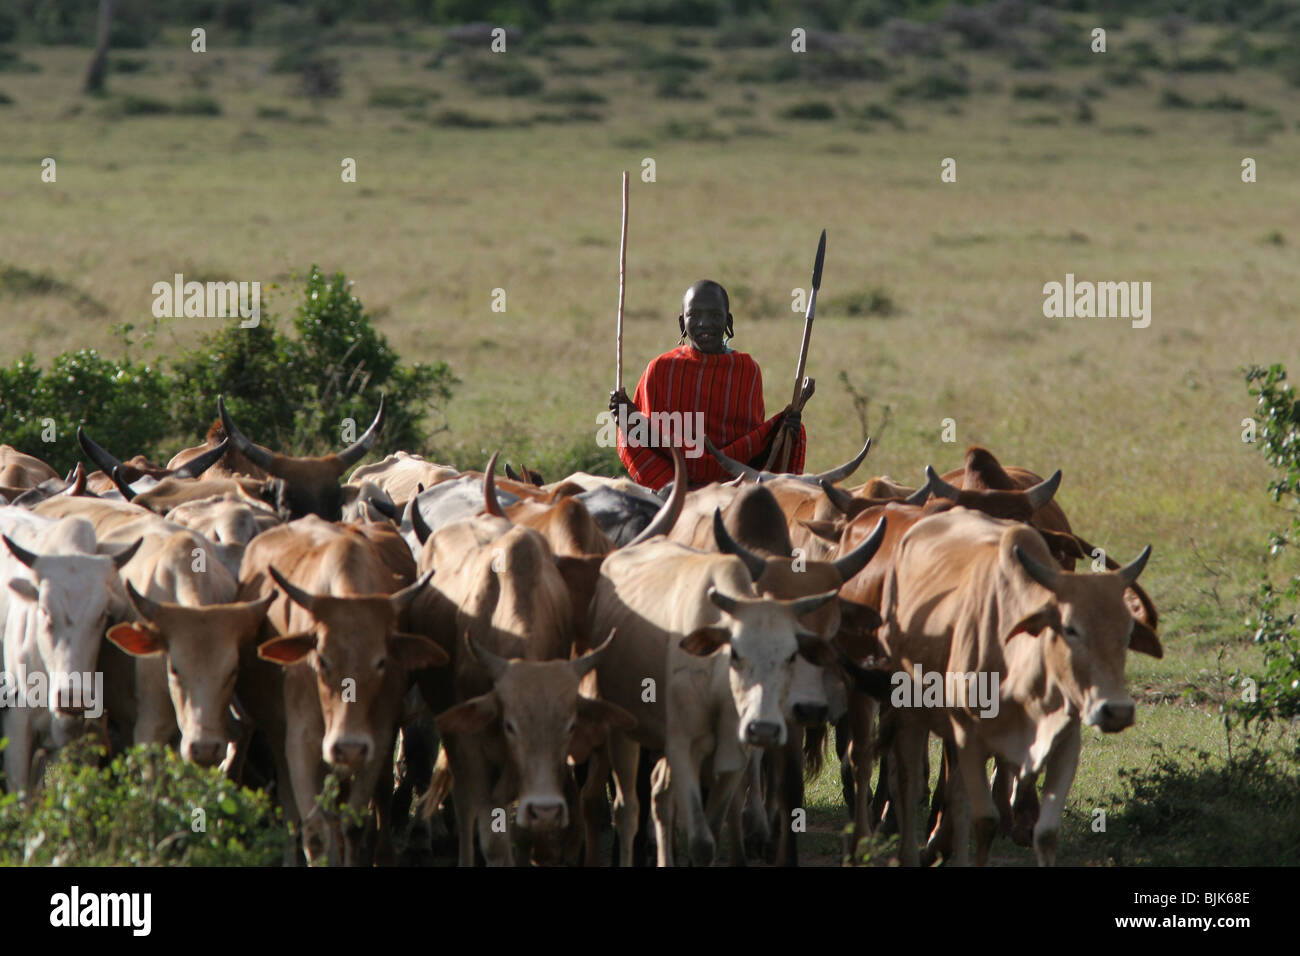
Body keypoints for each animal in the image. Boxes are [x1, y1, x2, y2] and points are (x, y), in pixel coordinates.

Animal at [236, 515, 446, 864]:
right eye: (320, 659)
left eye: (382, 661)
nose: (348, 746)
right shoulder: (301, 740)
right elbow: (314, 830)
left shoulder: (378, 738)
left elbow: (353, 823)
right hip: (279, 734)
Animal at [877, 506, 1158, 865]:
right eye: (1070, 628)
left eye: (1127, 632)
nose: (1117, 711)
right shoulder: (969, 738)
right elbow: (985, 821)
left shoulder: (1065, 740)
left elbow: (1046, 832)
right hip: (909, 713)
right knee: (910, 783)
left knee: (955, 797)